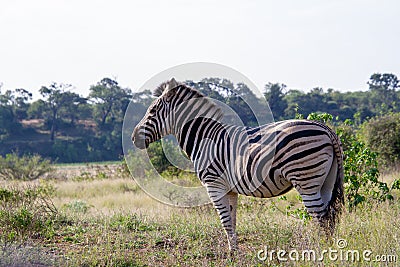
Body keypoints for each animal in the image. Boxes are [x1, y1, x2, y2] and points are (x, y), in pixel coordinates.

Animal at [132, 77, 344, 251]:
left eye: (152, 111)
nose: (133, 138)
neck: (204, 138)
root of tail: (326, 128)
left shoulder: (214, 185)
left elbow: (225, 222)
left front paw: (231, 255)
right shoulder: (230, 189)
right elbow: (232, 222)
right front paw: (234, 253)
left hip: (306, 179)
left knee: (321, 219)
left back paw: (318, 252)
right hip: (326, 181)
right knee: (330, 217)